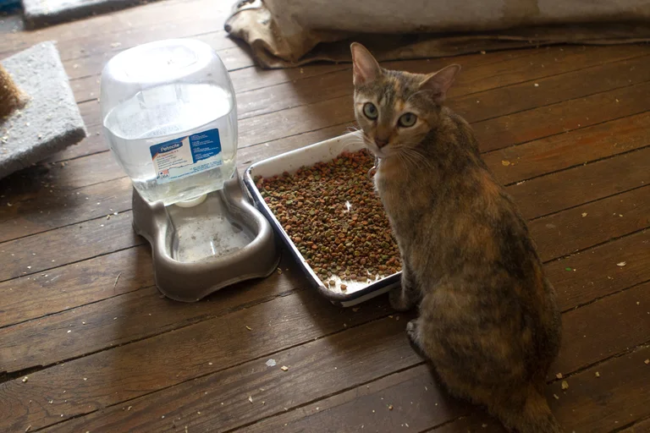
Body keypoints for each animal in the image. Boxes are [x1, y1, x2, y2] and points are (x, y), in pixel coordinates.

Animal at [350, 42, 563, 433]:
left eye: (407, 119)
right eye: (370, 109)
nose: (380, 140)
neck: (436, 132)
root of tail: (527, 391)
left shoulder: (407, 239)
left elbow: (407, 280)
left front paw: (398, 302)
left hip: (438, 306)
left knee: (453, 379)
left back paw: (415, 333)